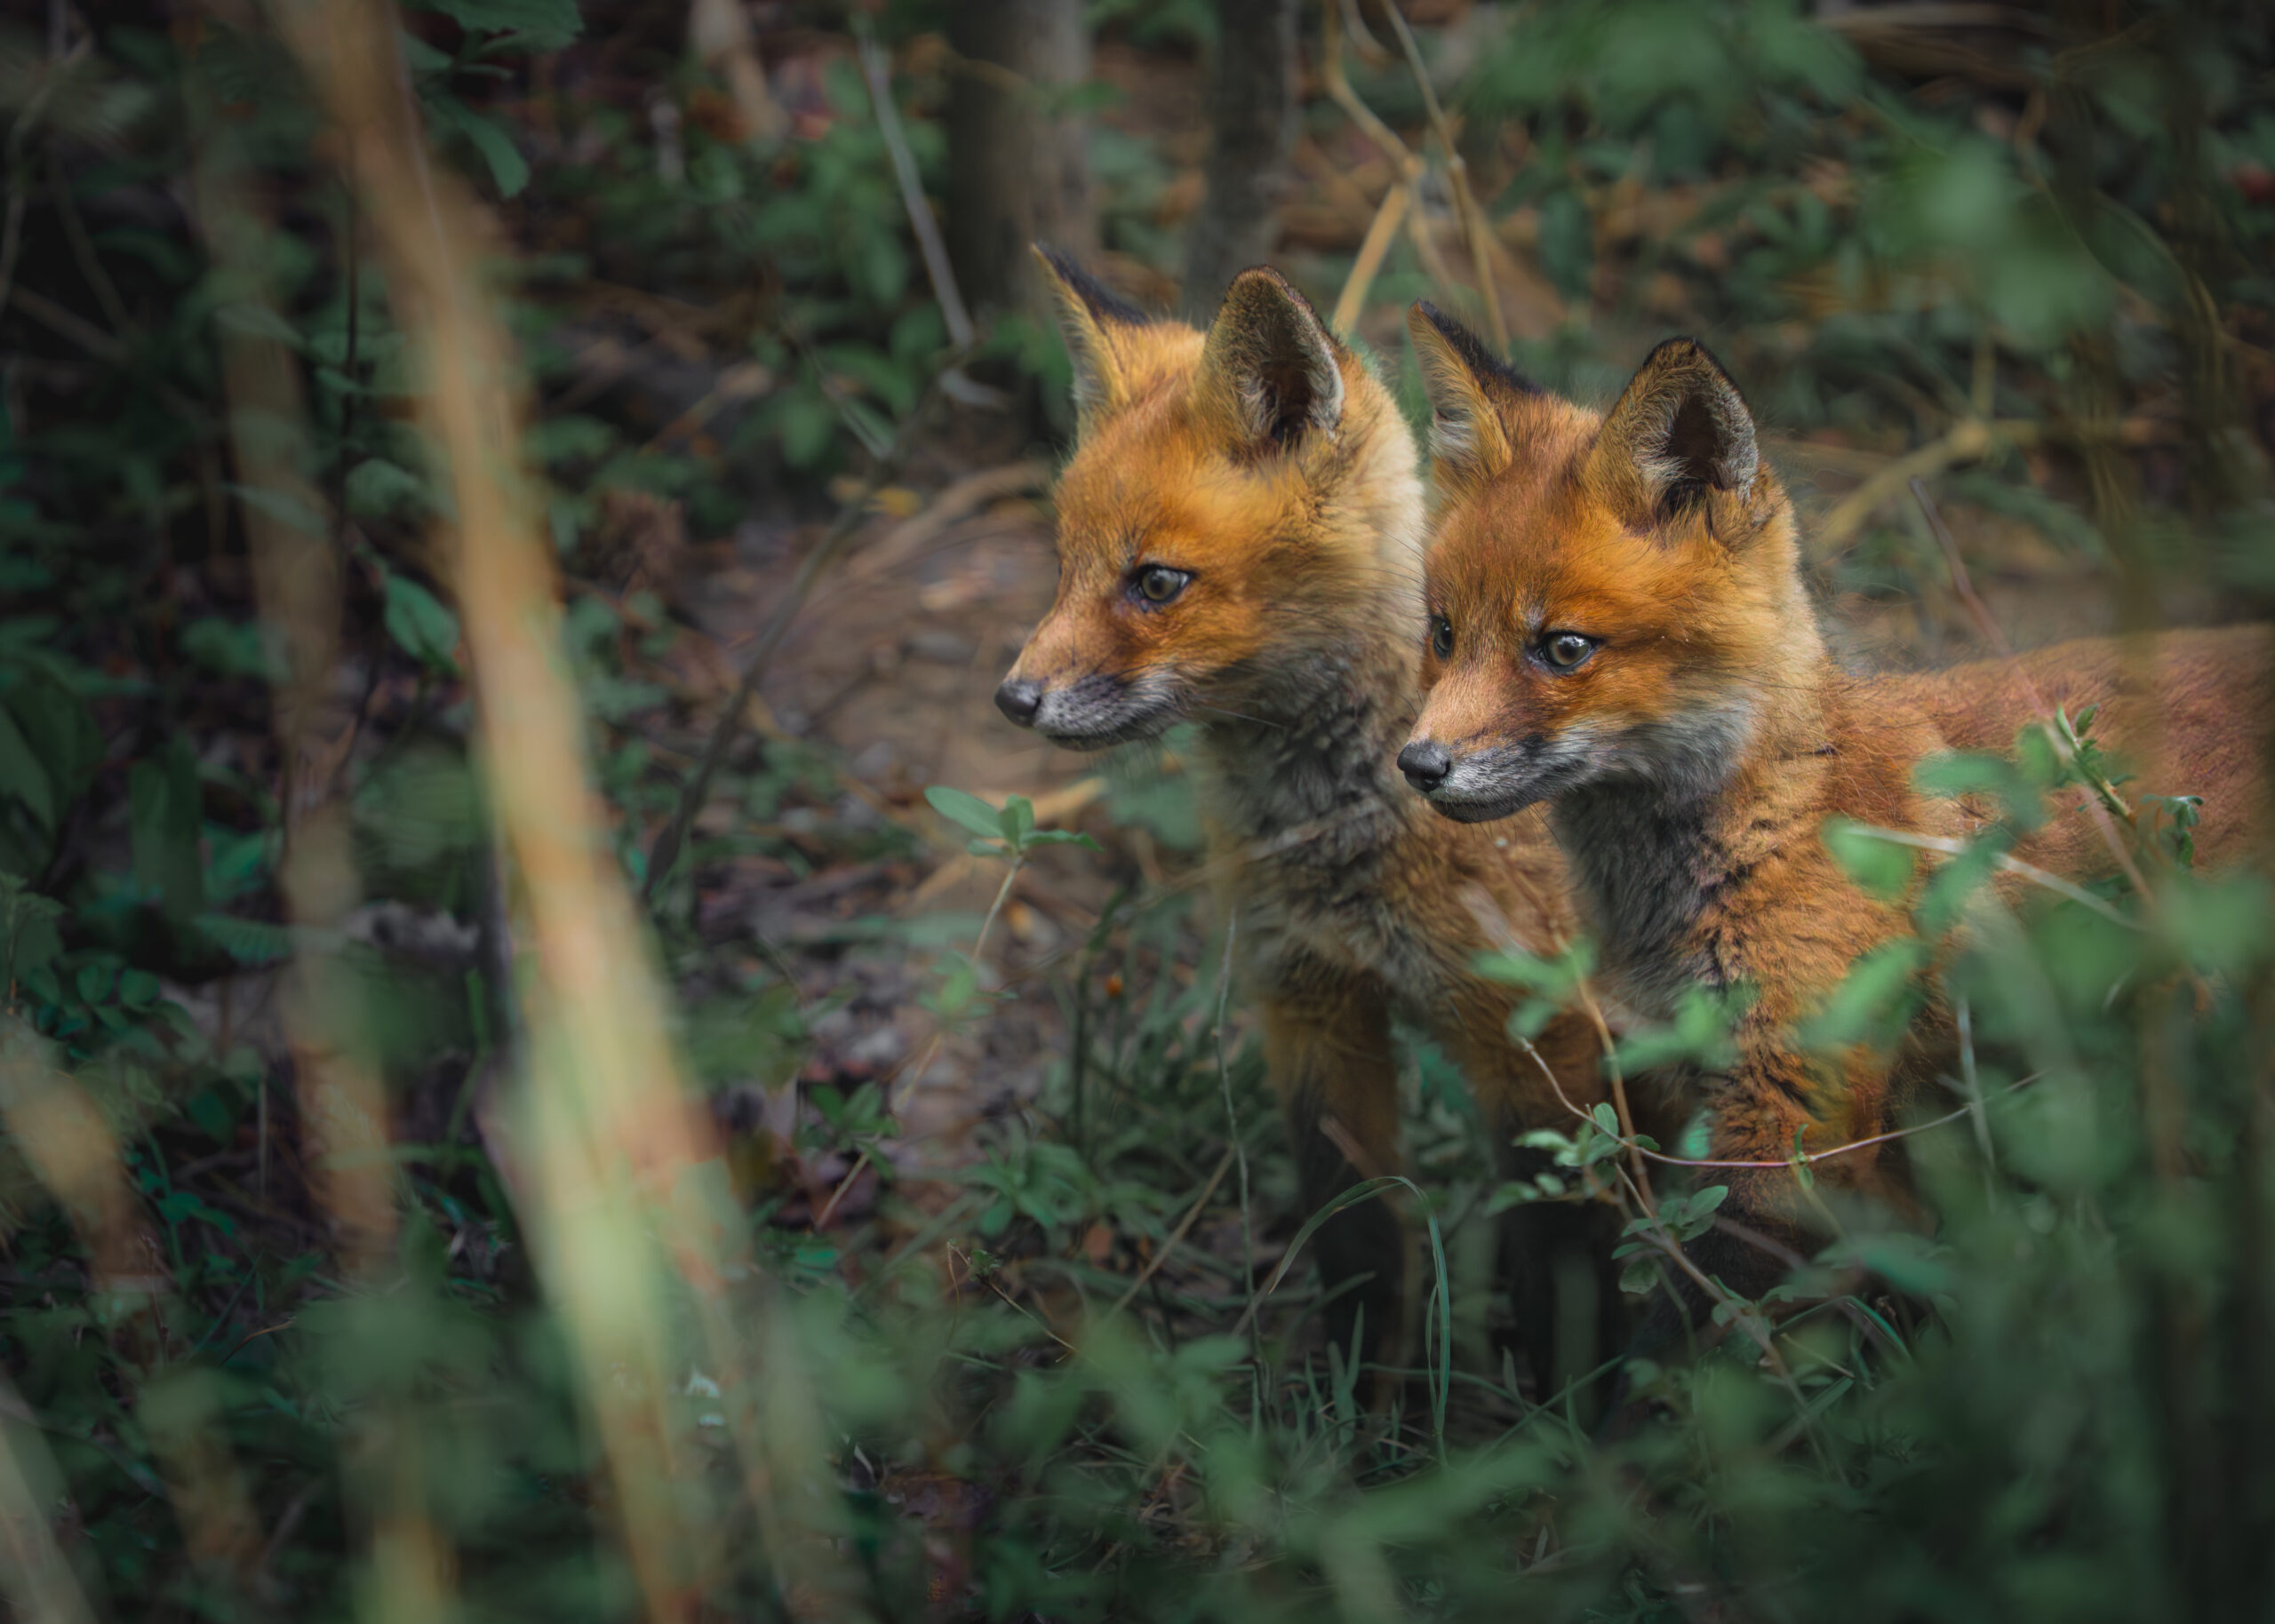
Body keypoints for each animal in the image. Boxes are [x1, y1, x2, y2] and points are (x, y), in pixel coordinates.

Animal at [994, 248, 1649, 1389]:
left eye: (1155, 581)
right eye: (1065, 565)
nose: (1013, 698)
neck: (1348, 836)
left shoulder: (1544, 1046)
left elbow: (1565, 1276)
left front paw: (1574, 1417)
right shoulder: (1310, 1010)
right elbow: (1360, 1251)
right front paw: (1351, 1406)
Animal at [1394, 300, 2274, 1353]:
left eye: (1563, 648)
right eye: (1444, 634)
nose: (1417, 765)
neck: (1768, 834)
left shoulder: (1792, 1127)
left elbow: (1689, 1363)